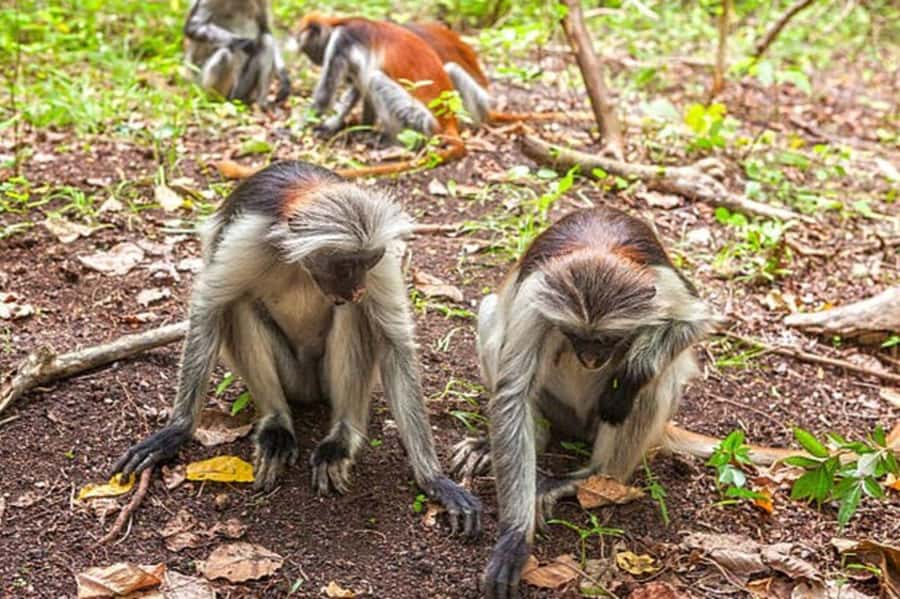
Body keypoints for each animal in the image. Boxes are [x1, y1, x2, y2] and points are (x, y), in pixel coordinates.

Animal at [112, 160, 481, 537]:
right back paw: (277, 425)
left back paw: (340, 440)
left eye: (368, 261)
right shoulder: (248, 238)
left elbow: (395, 341)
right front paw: (178, 429)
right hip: (293, 378)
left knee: (352, 315)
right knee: (238, 304)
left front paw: (434, 479)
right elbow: (208, 310)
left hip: (322, 378)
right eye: (345, 265)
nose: (357, 289)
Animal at [450, 207, 718, 597]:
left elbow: (695, 322)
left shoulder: (662, 284)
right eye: (575, 335)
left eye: (606, 339)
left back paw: (591, 476)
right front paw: (514, 537)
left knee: (653, 382)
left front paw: (633, 372)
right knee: (492, 315)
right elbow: (513, 393)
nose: (590, 359)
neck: (597, 247)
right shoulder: (538, 296)